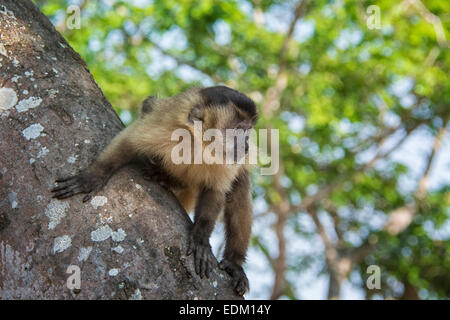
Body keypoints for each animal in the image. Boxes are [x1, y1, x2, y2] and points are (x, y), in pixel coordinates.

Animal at [51, 85, 256, 296]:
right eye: (238, 130)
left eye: (248, 131)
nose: (246, 145)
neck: (198, 143)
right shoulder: (166, 126)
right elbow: (129, 141)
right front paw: (92, 177)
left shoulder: (225, 161)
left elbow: (215, 191)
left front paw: (201, 237)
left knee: (240, 183)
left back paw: (234, 264)